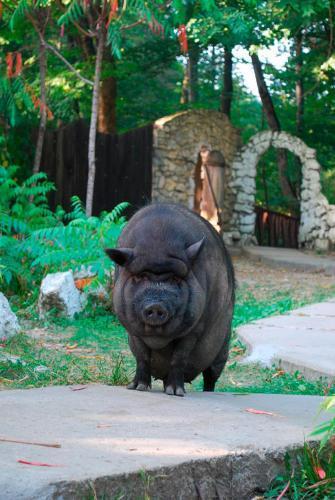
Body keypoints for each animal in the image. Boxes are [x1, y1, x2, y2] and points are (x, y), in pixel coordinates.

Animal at [106, 205, 235, 396]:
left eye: (175, 279)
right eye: (140, 276)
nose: (156, 305)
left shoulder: (195, 328)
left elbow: (179, 357)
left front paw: (176, 392)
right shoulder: (132, 329)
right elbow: (141, 356)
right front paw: (137, 388)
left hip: (223, 347)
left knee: (211, 376)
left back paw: (206, 392)